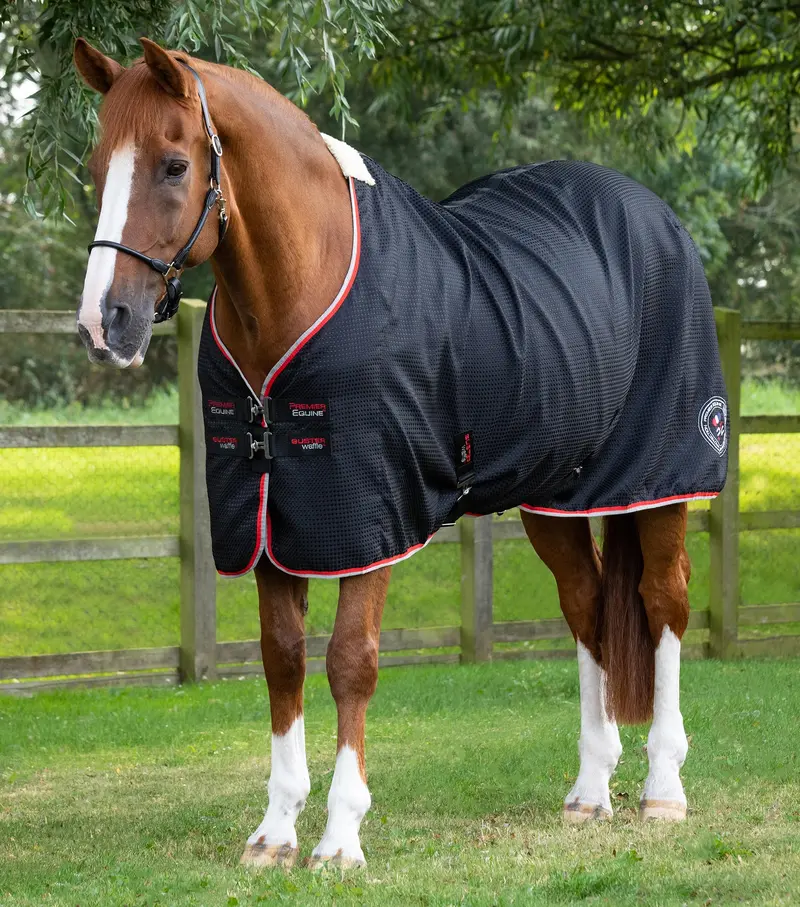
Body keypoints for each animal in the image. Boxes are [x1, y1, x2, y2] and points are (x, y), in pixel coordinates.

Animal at [73, 37, 727, 868]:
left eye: (173, 164)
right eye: (96, 166)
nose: (105, 322)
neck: (306, 286)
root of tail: (654, 215)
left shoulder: (368, 515)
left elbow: (350, 660)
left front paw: (340, 836)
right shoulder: (270, 519)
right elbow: (282, 658)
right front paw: (275, 831)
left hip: (660, 476)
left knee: (663, 601)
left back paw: (663, 788)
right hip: (555, 494)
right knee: (586, 607)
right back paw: (589, 789)